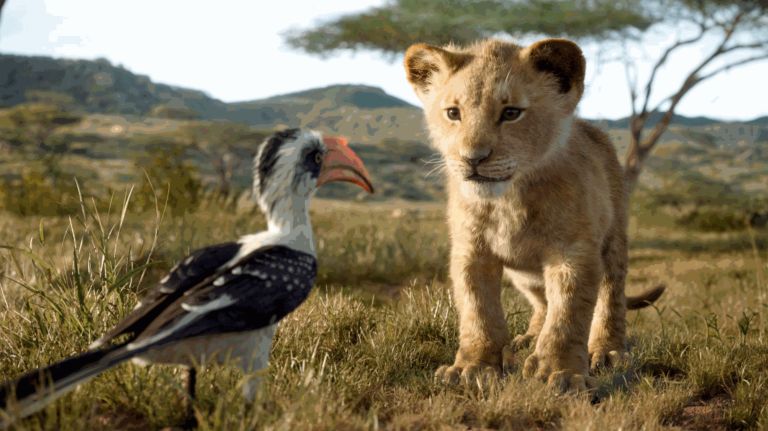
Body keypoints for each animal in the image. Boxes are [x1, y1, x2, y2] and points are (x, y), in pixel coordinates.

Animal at [403, 38, 664, 391]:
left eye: (511, 113)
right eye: (453, 113)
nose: (473, 158)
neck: (509, 199)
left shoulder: (573, 252)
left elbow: (568, 314)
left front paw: (561, 373)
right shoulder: (471, 250)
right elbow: (478, 310)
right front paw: (473, 368)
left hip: (614, 240)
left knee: (611, 296)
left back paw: (607, 351)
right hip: (523, 274)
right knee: (542, 302)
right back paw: (527, 339)